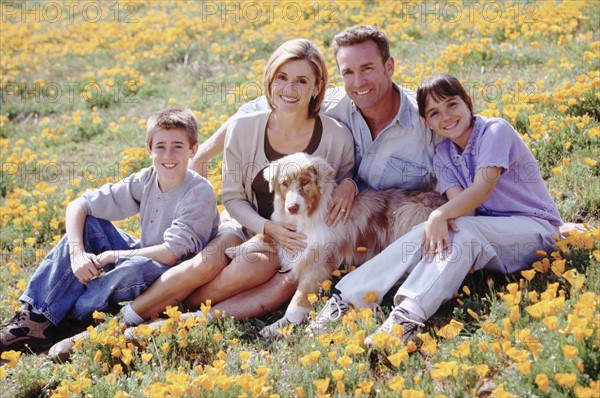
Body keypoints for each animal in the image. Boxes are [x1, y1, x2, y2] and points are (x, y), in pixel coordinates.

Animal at [225, 152, 446, 336]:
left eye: (305, 181)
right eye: (284, 183)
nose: (292, 207)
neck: (308, 217)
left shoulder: (317, 265)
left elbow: (296, 304)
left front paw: (277, 327)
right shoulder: (288, 235)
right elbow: (266, 236)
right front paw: (234, 249)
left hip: (409, 212)